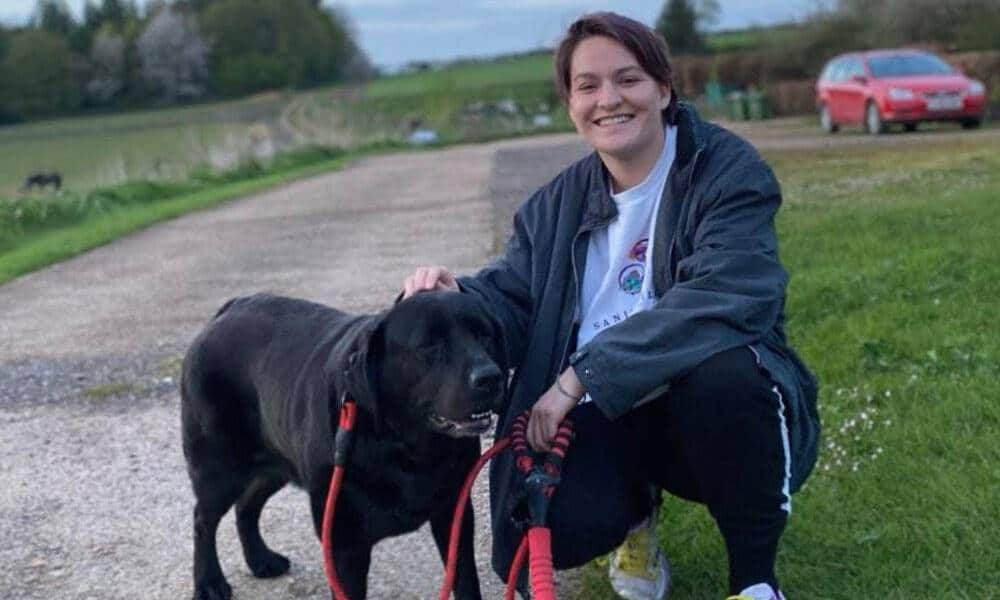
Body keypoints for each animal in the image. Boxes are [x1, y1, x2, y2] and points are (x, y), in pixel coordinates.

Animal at [180, 292, 504, 596]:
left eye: (485, 336)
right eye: (429, 345)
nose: (490, 377)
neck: (406, 447)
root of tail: (229, 309)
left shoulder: (454, 516)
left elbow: (465, 581)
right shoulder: (343, 543)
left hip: (274, 465)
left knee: (246, 506)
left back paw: (260, 560)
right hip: (219, 469)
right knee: (203, 519)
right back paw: (209, 582)